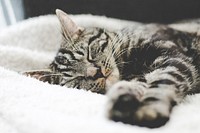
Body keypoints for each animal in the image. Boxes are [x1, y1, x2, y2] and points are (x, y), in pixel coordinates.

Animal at [24, 9, 200, 128]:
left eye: (88, 54)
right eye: (77, 78)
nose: (96, 73)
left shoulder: (172, 57)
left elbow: (162, 83)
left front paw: (149, 110)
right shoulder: (138, 77)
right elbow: (133, 86)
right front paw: (123, 101)